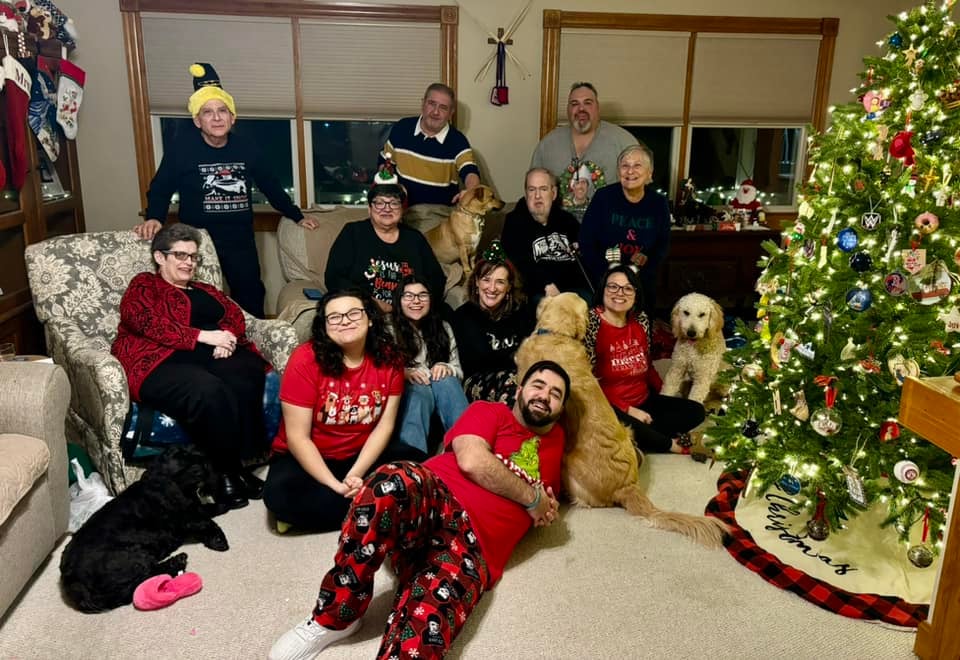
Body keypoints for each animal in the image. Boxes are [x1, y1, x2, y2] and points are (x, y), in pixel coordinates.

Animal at [59, 447, 229, 612]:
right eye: (180, 458)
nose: (203, 468)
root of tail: (72, 581)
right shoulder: (186, 516)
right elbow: (208, 521)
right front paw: (219, 539)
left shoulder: (192, 510)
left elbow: (208, 510)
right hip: (131, 557)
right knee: (143, 577)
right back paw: (176, 562)